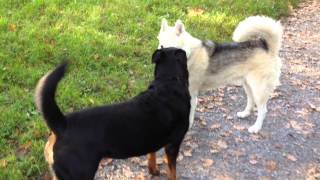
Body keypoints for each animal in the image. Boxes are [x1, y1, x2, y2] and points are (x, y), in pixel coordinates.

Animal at [35, 47, 190, 180]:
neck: (168, 82)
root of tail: (62, 124)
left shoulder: (153, 139)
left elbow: (151, 155)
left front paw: (153, 170)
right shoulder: (174, 144)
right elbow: (172, 172)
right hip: (79, 173)